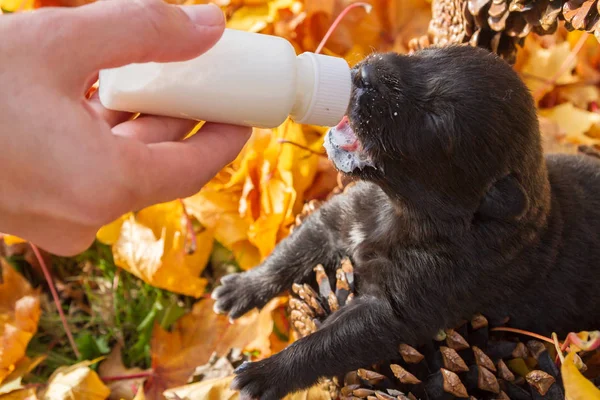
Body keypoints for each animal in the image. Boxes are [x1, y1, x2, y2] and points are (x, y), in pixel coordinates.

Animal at [210, 45, 600, 398]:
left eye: (436, 120)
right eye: (428, 53)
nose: (365, 76)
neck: (398, 211)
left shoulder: (396, 309)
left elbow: (326, 341)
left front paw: (266, 373)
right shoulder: (336, 219)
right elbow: (289, 253)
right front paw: (241, 287)